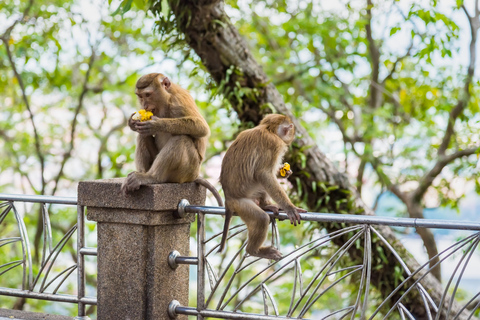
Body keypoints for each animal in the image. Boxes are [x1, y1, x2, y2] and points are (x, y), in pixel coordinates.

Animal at [122, 73, 223, 205]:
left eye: (148, 95)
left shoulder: (178, 102)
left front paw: (157, 124)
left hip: (187, 171)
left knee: (181, 138)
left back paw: (151, 177)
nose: (144, 105)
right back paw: (143, 173)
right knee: (142, 135)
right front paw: (132, 123)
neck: (167, 99)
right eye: (140, 96)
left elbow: (202, 127)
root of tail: (195, 176)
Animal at [218, 114, 306, 260]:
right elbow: (264, 174)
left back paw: (265, 205)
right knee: (261, 219)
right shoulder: (274, 144)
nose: (291, 133)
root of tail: (228, 199)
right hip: (241, 204)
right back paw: (254, 250)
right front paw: (290, 208)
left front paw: (284, 172)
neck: (268, 129)